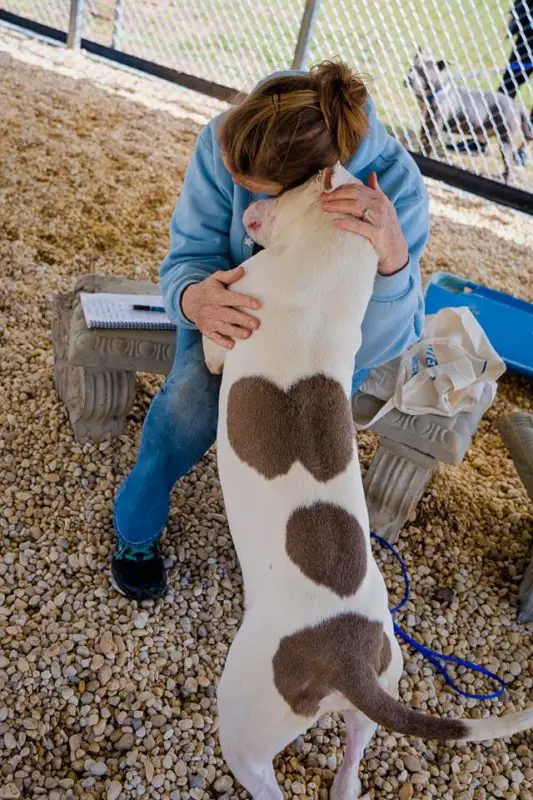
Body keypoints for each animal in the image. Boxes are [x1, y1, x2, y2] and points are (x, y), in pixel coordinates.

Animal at [201, 164, 532, 800]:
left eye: (289, 187)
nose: (253, 203)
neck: (324, 269)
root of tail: (348, 660)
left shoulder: (235, 311)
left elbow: (214, 327)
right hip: (385, 672)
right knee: (354, 756)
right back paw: (346, 780)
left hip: (245, 718)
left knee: (261, 776)